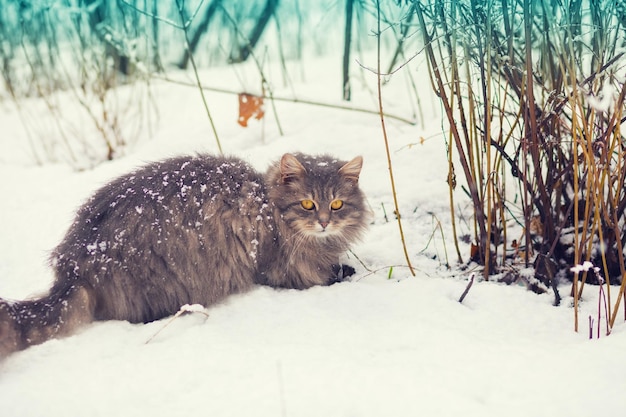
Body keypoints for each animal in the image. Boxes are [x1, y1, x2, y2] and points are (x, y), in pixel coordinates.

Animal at [0, 154, 368, 358]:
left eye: (337, 204)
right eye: (307, 204)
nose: (324, 222)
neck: (269, 206)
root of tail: (73, 265)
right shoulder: (282, 267)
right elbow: (322, 275)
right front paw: (346, 272)